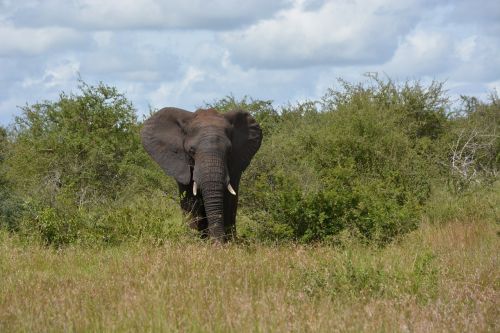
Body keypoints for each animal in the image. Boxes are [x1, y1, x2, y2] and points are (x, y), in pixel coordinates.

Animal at [141, 107, 262, 241]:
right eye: (191, 151)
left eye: (229, 151)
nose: (216, 243)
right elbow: (190, 197)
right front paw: (193, 240)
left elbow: (229, 197)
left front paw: (229, 242)